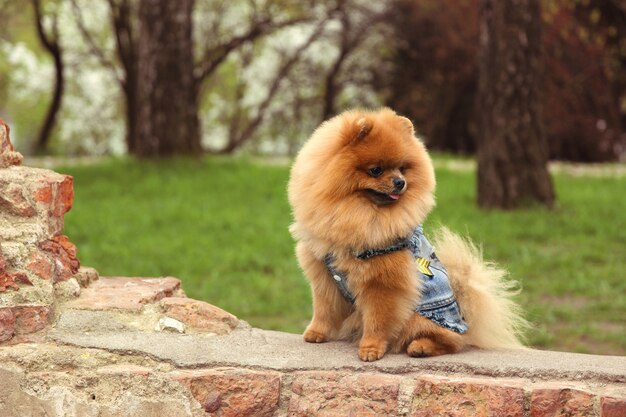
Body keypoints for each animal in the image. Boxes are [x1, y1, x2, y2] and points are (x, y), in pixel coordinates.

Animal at [288, 108, 528, 360]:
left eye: (402, 169)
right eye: (376, 170)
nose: (400, 182)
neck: (358, 214)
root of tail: (463, 312)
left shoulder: (383, 283)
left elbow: (377, 320)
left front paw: (370, 348)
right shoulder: (324, 275)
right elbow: (324, 309)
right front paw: (316, 333)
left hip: (421, 317)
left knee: (452, 341)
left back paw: (421, 347)